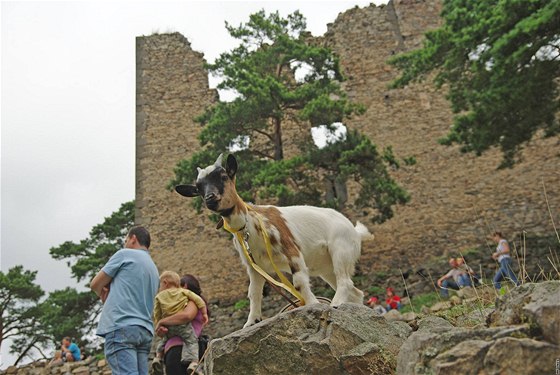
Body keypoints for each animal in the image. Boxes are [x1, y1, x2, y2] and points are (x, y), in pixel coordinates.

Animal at [177, 154, 374, 328]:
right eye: (198, 188)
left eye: (224, 176)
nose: (210, 198)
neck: (250, 223)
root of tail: (355, 232)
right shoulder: (254, 267)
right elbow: (254, 293)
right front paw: (251, 321)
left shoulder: (292, 251)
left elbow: (299, 283)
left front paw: (312, 304)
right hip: (326, 268)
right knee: (355, 291)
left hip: (341, 250)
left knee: (345, 281)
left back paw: (334, 304)